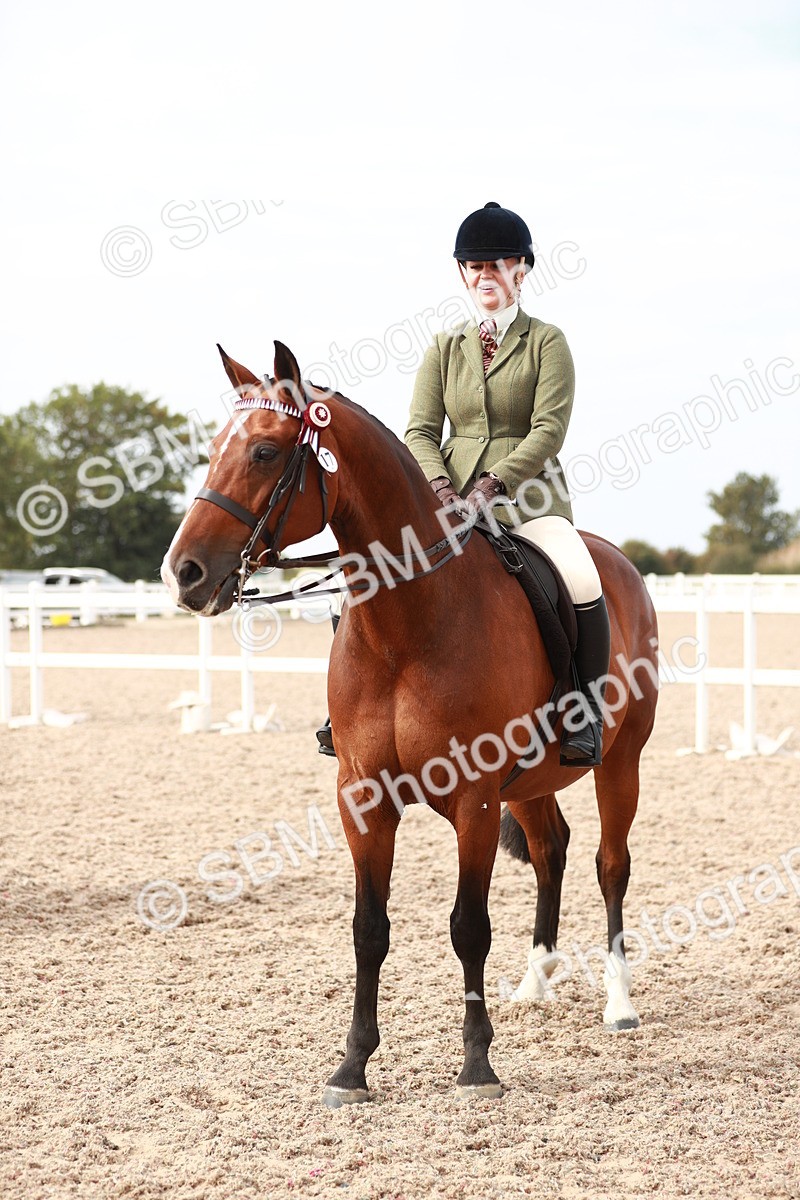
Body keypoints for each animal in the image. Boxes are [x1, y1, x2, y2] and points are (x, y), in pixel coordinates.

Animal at [161, 341, 659, 1106]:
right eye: (214, 450)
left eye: (266, 453)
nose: (183, 573)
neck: (408, 625)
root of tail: (621, 563)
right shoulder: (363, 797)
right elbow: (369, 929)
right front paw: (351, 1068)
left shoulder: (475, 799)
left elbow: (469, 927)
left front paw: (477, 1065)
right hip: (531, 782)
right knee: (552, 851)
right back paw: (535, 982)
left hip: (619, 762)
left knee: (611, 864)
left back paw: (620, 1003)